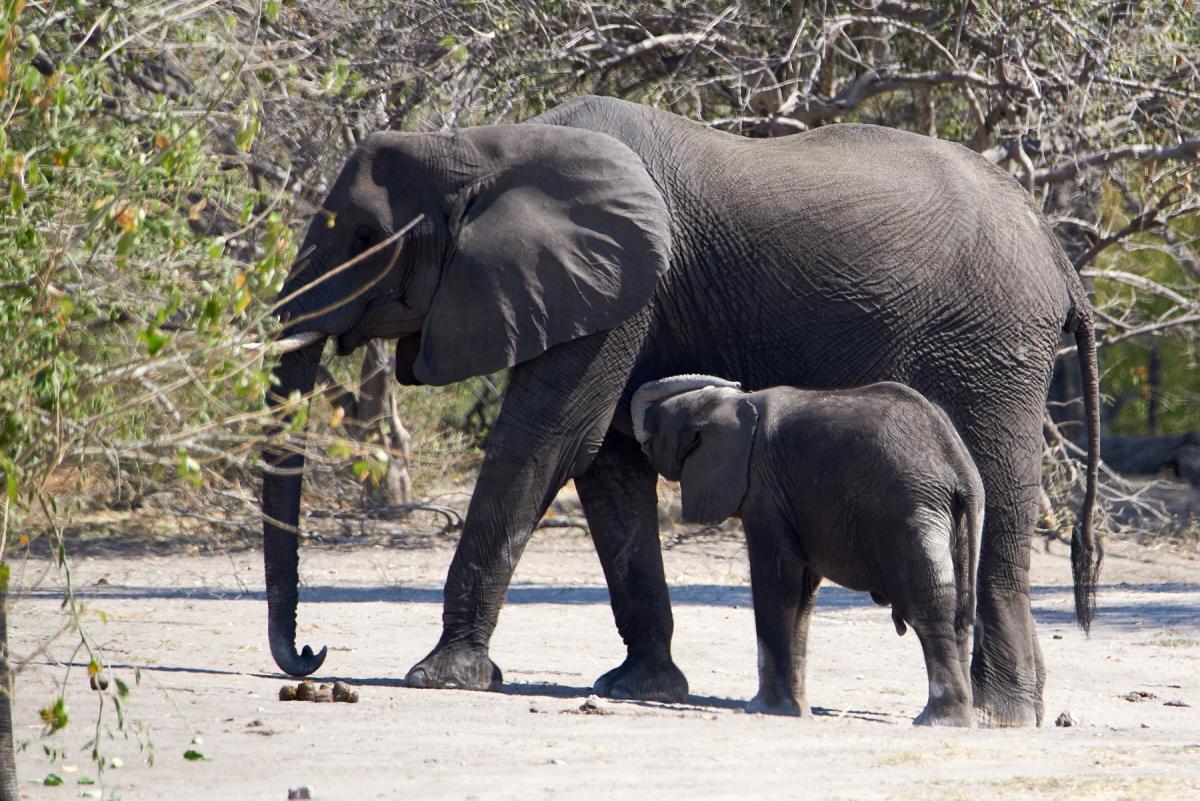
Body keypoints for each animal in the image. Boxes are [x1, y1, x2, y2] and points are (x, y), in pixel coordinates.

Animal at [631, 375, 983, 726]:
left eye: (655, 433)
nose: (737, 380)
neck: (733, 405)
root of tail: (960, 468)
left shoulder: (762, 491)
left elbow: (776, 581)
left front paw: (766, 709)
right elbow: (802, 594)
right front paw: (796, 711)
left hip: (911, 510)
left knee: (931, 603)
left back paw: (939, 721)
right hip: (958, 519)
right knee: (959, 608)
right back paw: (959, 717)